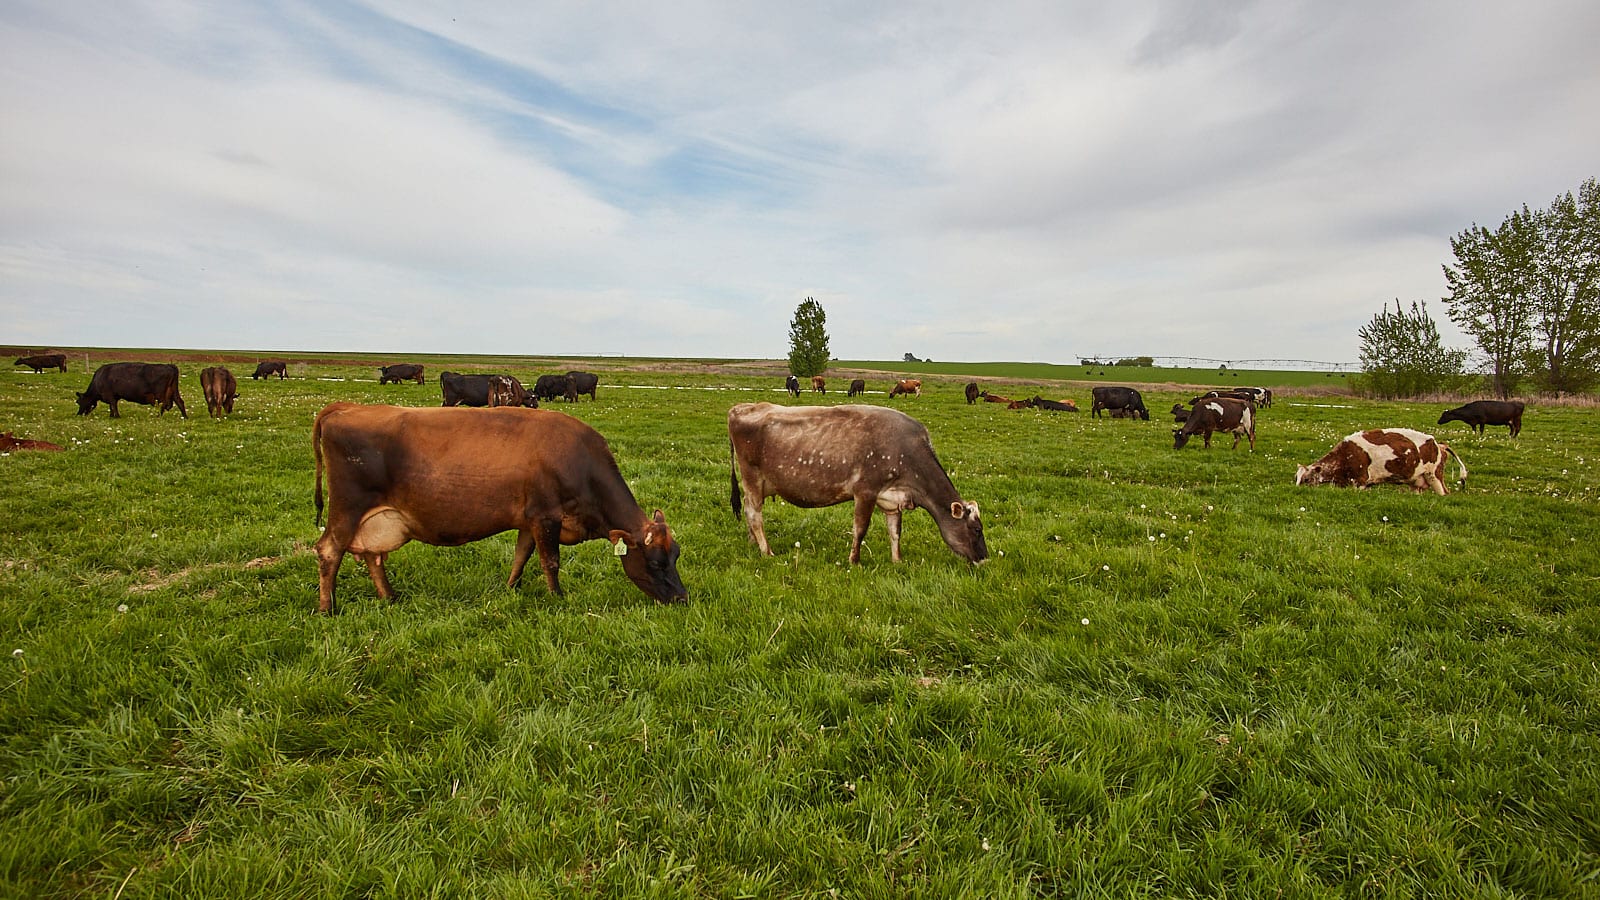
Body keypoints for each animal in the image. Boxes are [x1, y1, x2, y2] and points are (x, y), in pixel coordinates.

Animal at [313, 403, 688, 611]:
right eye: (655, 563)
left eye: (676, 556)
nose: (682, 599)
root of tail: (345, 406)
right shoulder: (546, 516)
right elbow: (550, 561)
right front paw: (557, 598)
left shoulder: (528, 520)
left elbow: (521, 556)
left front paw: (510, 589)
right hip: (347, 509)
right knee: (329, 550)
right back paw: (327, 609)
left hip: (375, 520)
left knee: (373, 556)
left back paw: (390, 597)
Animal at [729, 403, 985, 563]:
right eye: (976, 529)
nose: (984, 558)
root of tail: (741, 408)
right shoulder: (865, 491)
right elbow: (860, 529)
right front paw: (854, 561)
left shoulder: (892, 499)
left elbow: (895, 531)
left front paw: (897, 560)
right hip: (752, 476)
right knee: (754, 514)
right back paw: (766, 551)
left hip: (759, 484)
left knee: (748, 509)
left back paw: (753, 543)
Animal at [1292, 425, 1465, 493]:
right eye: (1296, 478)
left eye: (1306, 479)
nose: (1296, 490)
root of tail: (1440, 444)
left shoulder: (1360, 482)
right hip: (1417, 482)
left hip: (1435, 476)